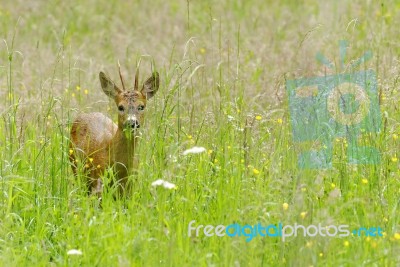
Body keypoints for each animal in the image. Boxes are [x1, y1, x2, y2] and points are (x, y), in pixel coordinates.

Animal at [69, 65, 159, 198]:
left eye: (141, 106)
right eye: (120, 107)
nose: (132, 123)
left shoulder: (130, 187)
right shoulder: (98, 183)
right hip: (77, 170)